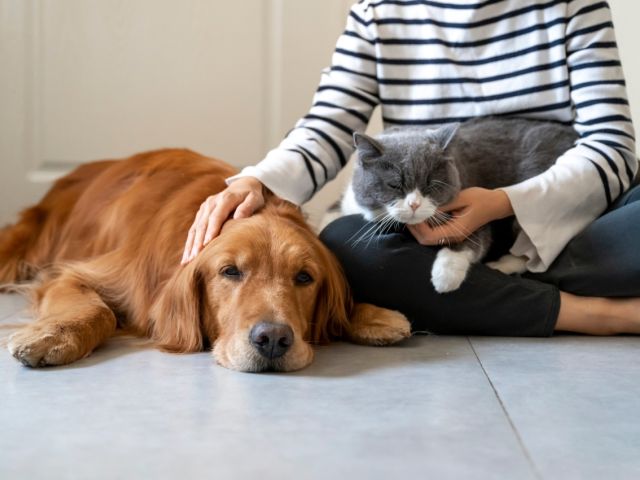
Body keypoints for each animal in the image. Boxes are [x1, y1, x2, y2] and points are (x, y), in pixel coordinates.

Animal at [0, 150, 410, 372]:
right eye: (229, 272)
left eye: (305, 278)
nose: (273, 340)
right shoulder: (75, 274)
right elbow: (97, 310)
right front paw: (51, 336)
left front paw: (373, 316)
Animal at [342, 117, 576, 292]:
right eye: (394, 185)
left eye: (431, 185)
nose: (415, 204)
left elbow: (473, 238)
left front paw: (446, 276)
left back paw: (500, 265)